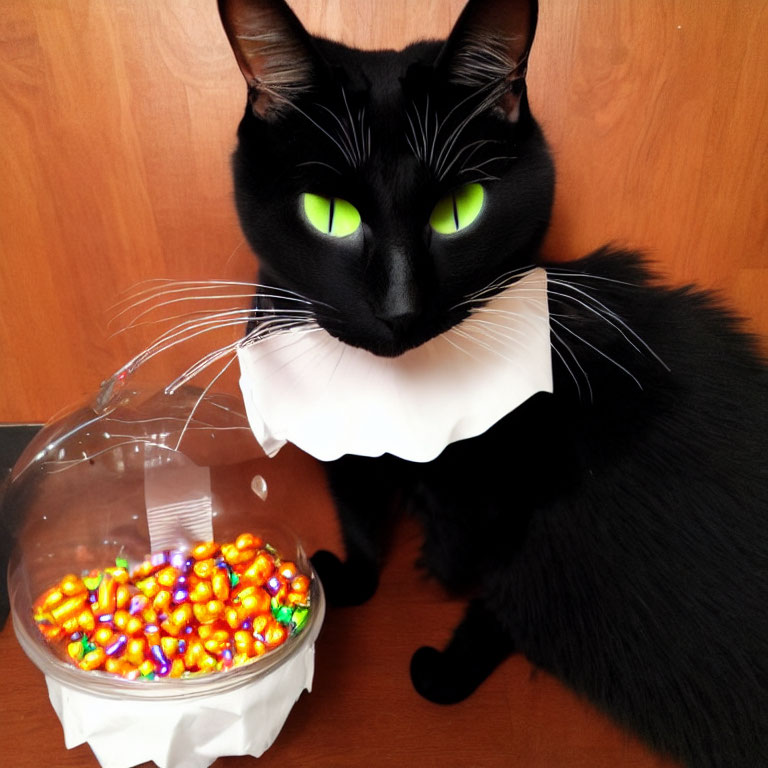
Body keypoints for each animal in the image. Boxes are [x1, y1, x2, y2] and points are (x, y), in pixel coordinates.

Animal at [216, 3, 768, 764]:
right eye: (329, 215)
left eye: (460, 210)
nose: (400, 307)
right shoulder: (348, 453)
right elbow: (359, 512)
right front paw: (354, 578)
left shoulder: (531, 512)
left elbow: (502, 594)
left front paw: (444, 668)